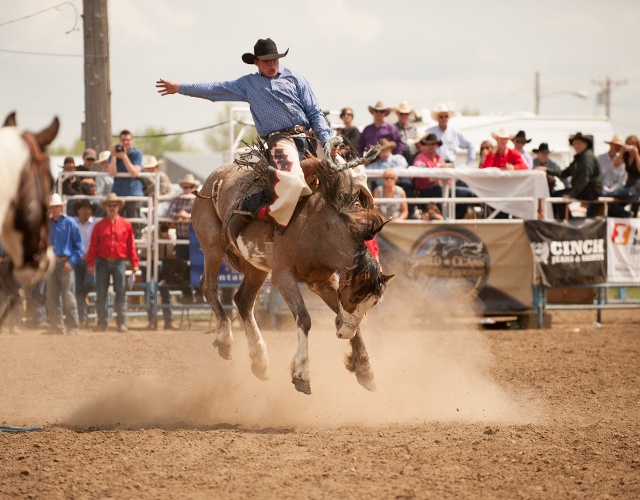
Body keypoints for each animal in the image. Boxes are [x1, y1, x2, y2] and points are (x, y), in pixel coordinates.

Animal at [191, 148, 390, 394]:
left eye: (372, 302)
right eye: (354, 297)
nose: (344, 334)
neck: (316, 228)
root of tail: (213, 178)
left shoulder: (323, 282)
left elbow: (341, 315)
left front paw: (364, 370)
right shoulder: (283, 276)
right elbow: (304, 318)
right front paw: (302, 374)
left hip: (257, 267)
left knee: (243, 300)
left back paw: (259, 360)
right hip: (212, 248)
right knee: (209, 287)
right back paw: (225, 339)